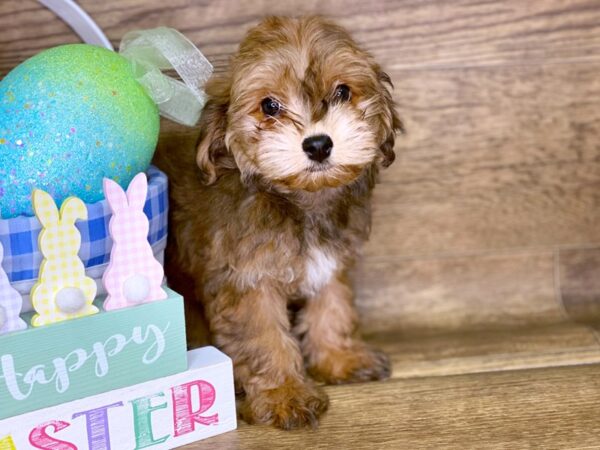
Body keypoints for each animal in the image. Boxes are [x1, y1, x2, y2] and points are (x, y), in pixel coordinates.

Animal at [152, 16, 400, 428]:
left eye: (342, 92)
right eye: (270, 106)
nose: (318, 144)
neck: (297, 200)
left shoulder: (328, 263)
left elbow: (332, 305)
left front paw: (339, 357)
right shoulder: (247, 280)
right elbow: (265, 337)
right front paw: (285, 392)